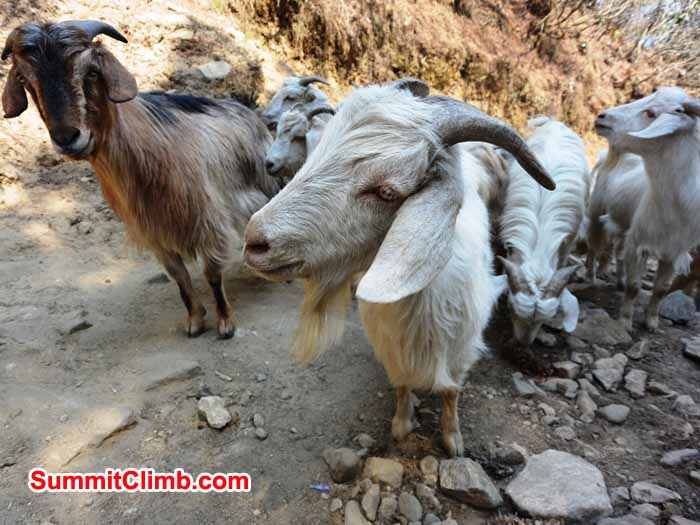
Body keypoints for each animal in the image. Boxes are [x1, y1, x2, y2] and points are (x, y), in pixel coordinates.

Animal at [2, 20, 282, 338]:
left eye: (91, 72)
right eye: (26, 80)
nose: (66, 138)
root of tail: (246, 109)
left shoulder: (209, 220)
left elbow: (211, 273)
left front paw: (225, 323)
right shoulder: (154, 232)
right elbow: (180, 277)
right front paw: (195, 320)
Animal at [242, 79, 554, 456]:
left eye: (386, 191)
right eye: (317, 151)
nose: (255, 242)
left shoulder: (461, 348)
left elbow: (451, 391)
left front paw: (453, 439)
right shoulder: (392, 345)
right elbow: (402, 383)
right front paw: (402, 425)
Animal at [594, 87, 700, 331]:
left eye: (651, 113)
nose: (602, 117)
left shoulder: (673, 252)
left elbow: (661, 290)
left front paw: (652, 322)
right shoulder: (638, 243)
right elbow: (635, 285)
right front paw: (625, 322)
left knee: (618, 252)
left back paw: (618, 281)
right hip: (597, 210)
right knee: (600, 246)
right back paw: (595, 273)